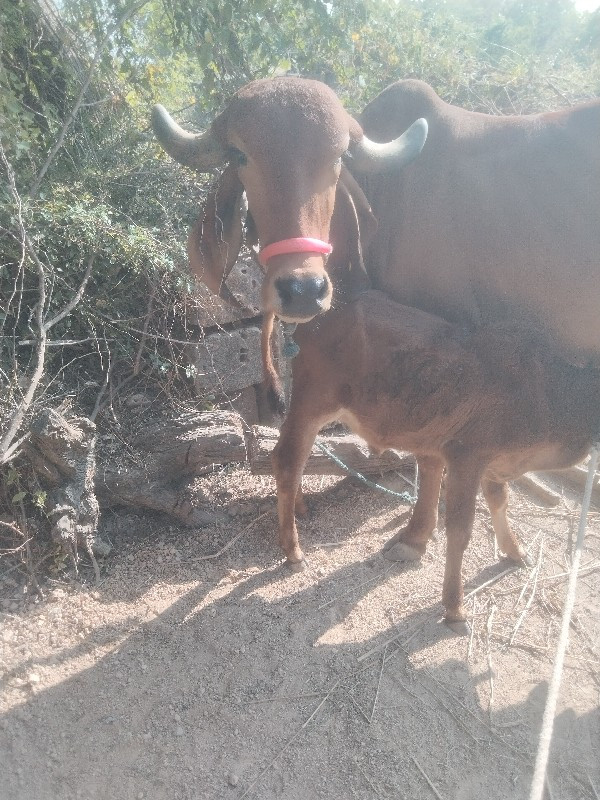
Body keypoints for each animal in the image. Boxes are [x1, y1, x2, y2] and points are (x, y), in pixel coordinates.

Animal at [274, 290, 600, 632]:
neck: (549, 395)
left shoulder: (496, 463)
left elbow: (499, 501)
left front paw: (514, 551)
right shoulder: (466, 456)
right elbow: (460, 529)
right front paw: (455, 608)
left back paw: (300, 508)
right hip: (311, 404)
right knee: (286, 463)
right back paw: (293, 550)